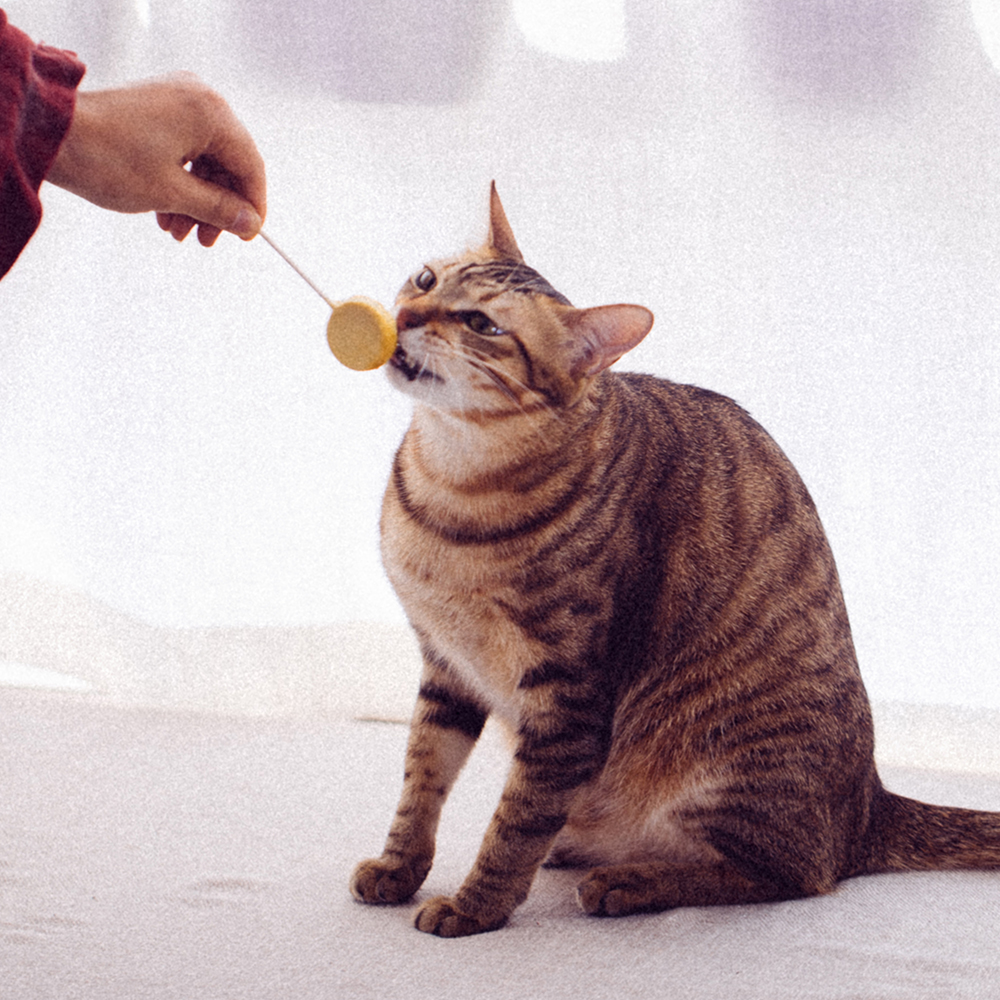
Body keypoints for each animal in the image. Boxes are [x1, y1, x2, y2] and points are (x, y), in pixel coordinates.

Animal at [348, 186, 996, 936]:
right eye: (427, 279)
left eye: (481, 323)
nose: (404, 314)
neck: (451, 483)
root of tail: (870, 804)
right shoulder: (445, 667)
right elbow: (421, 782)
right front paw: (399, 869)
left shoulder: (569, 697)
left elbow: (515, 822)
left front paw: (477, 904)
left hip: (721, 765)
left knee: (791, 875)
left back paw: (628, 881)